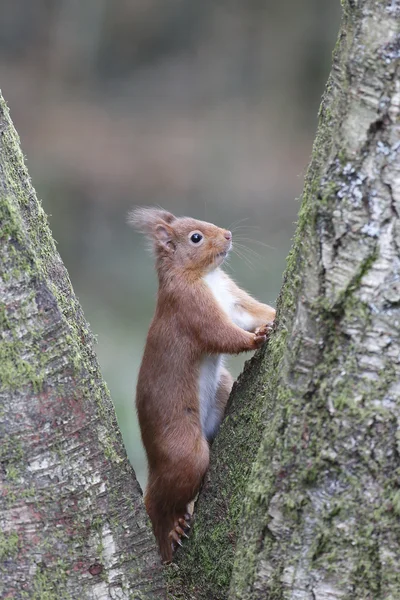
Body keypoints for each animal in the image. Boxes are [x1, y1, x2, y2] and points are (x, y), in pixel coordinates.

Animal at [128, 207, 276, 564]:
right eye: (195, 237)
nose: (228, 235)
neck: (207, 278)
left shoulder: (234, 301)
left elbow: (254, 311)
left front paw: (274, 316)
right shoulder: (190, 308)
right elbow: (222, 335)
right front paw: (257, 338)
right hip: (185, 450)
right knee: (161, 499)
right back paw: (171, 529)